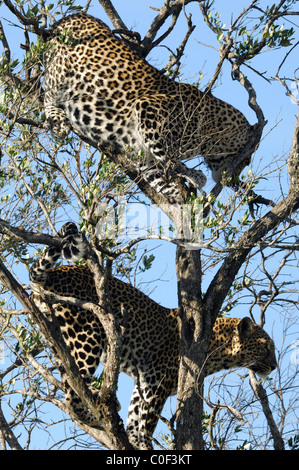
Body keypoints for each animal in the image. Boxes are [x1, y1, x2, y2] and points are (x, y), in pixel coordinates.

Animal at [29, 222, 278, 450]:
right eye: (266, 347)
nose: (275, 366)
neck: (217, 350)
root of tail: (55, 274)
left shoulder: (146, 378)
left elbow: (136, 414)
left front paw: (133, 439)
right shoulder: (157, 379)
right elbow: (147, 418)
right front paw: (143, 443)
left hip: (57, 337)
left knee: (69, 378)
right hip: (86, 336)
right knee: (72, 393)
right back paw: (98, 411)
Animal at [43, 12, 258, 200]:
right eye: (246, 159)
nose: (232, 180)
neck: (210, 127)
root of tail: (74, 15)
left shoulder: (140, 152)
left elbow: (158, 175)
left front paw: (180, 196)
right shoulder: (146, 109)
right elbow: (171, 159)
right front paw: (195, 176)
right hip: (60, 70)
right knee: (45, 93)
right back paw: (58, 122)